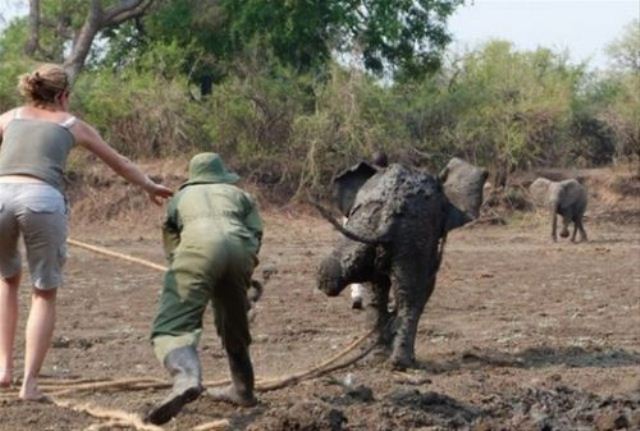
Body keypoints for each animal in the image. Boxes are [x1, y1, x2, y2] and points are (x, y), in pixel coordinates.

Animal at [318, 160, 488, 370]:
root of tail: (387, 218)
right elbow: (426, 287)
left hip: (365, 231)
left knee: (371, 292)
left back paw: (377, 357)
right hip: (410, 238)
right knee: (410, 298)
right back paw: (402, 362)